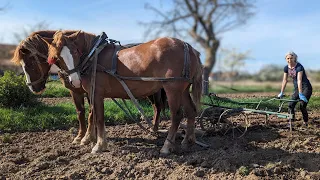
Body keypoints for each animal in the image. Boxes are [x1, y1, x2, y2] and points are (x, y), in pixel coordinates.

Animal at [11, 31, 168, 146]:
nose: (34, 89)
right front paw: (83, 136)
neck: (90, 57)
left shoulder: (88, 91)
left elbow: (91, 113)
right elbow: (81, 112)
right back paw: (154, 128)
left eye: (30, 63)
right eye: (57, 57)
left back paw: (155, 129)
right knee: (156, 106)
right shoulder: (76, 91)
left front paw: (88, 137)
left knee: (158, 106)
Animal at [44, 30, 202, 154]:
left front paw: (98, 145)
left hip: (172, 88)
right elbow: (91, 115)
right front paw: (88, 139)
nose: (75, 81)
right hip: (183, 89)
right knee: (190, 111)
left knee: (176, 115)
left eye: (75, 51)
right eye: (56, 57)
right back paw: (188, 141)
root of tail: (188, 46)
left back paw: (167, 146)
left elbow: (98, 118)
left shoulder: (96, 93)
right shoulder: (91, 93)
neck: (93, 55)